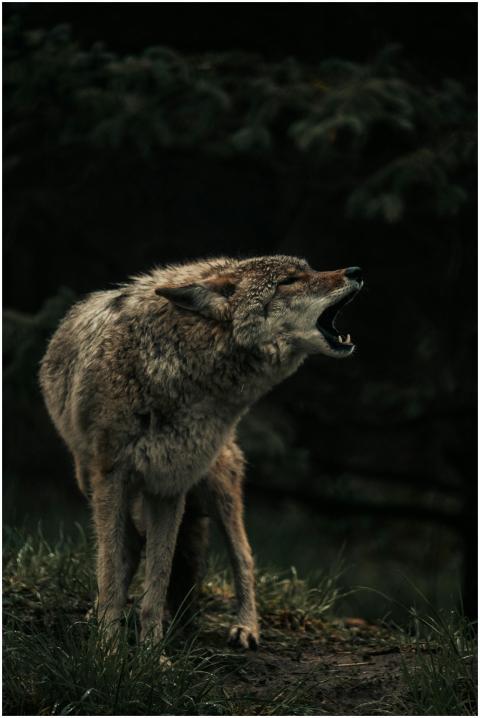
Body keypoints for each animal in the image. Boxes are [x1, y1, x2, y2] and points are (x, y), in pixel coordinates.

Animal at [39, 255, 363, 649]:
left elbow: (158, 581)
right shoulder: (114, 479)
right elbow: (113, 567)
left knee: (243, 556)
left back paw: (246, 627)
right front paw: (110, 650)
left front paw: (151, 655)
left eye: (310, 269)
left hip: (219, 489)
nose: (355, 271)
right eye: (288, 281)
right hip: (90, 481)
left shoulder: (170, 485)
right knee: (128, 548)